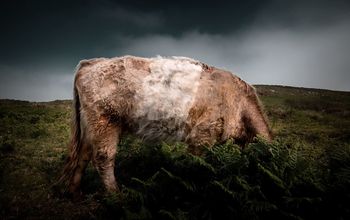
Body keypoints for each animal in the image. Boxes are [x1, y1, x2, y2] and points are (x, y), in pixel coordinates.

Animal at [58, 55, 272, 197]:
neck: (240, 104)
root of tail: (92, 63)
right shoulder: (202, 135)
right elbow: (197, 165)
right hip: (105, 121)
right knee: (103, 157)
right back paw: (115, 195)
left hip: (90, 125)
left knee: (83, 154)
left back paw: (74, 191)